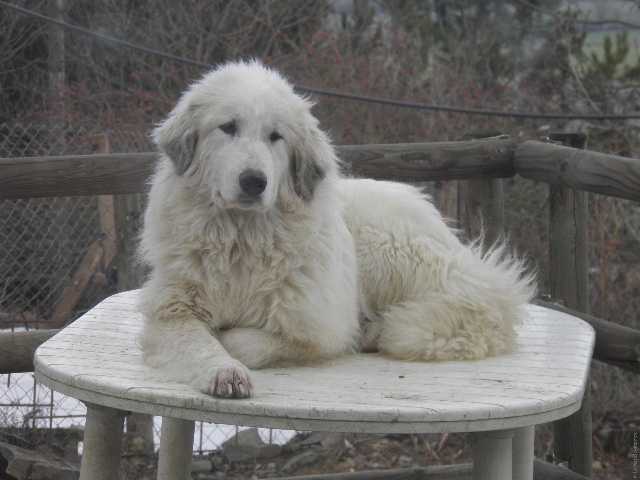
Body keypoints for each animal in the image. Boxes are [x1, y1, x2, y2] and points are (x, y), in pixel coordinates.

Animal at [139, 61, 536, 398]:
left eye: (275, 136)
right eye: (228, 127)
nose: (254, 181)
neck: (243, 239)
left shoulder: (322, 329)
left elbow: (246, 340)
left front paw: (231, 342)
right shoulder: (172, 312)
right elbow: (200, 343)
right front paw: (223, 371)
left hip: (380, 245)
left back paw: (375, 331)